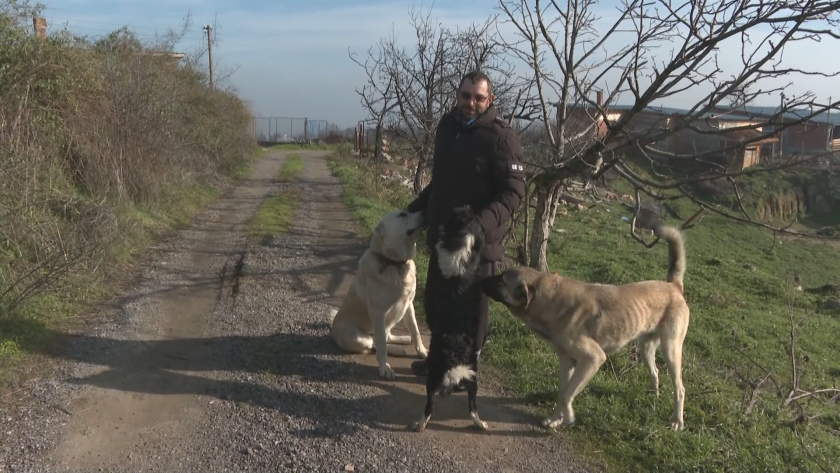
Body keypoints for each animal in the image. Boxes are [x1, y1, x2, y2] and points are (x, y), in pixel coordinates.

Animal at [330, 208, 428, 380]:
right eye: (402, 214)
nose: (424, 210)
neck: (395, 265)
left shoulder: (409, 305)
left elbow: (415, 331)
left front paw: (421, 351)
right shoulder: (378, 313)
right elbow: (381, 345)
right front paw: (385, 368)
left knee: (386, 336)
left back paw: (402, 341)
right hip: (358, 337)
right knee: (374, 343)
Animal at [409, 205, 489, 433]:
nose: (466, 207)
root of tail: (455, 358)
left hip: (433, 378)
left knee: (429, 407)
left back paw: (418, 425)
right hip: (472, 380)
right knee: (473, 408)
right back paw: (481, 425)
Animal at [482, 224, 690, 431]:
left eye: (501, 279)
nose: (480, 279)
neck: (552, 301)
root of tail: (673, 286)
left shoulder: (593, 359)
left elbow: (566, 395)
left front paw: (568, 418)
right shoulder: (567, 361)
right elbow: (562, 391)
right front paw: (556, 419)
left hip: (671, 349)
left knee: (680, 388)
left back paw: (676, 421)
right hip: (647, 348)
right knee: (655, 373)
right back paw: (654, 398)